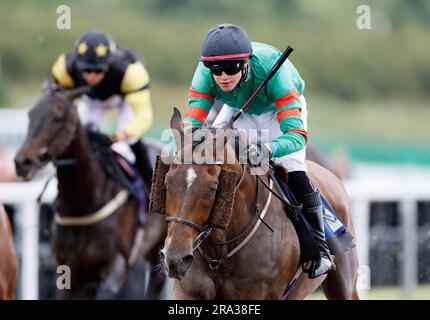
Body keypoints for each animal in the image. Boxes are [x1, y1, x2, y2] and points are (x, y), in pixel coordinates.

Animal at [14, 87, 166, 300]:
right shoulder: (71, 272)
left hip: (157, 255)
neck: (85, 203)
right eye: (30, 114)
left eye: (58, 117)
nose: (22, 162)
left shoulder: (116, 268)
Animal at [153, 109, 358, 300]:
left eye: (212, 189)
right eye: (167, 184)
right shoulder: (189, 292)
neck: (220, 255)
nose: (175, 259)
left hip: (344, 285)